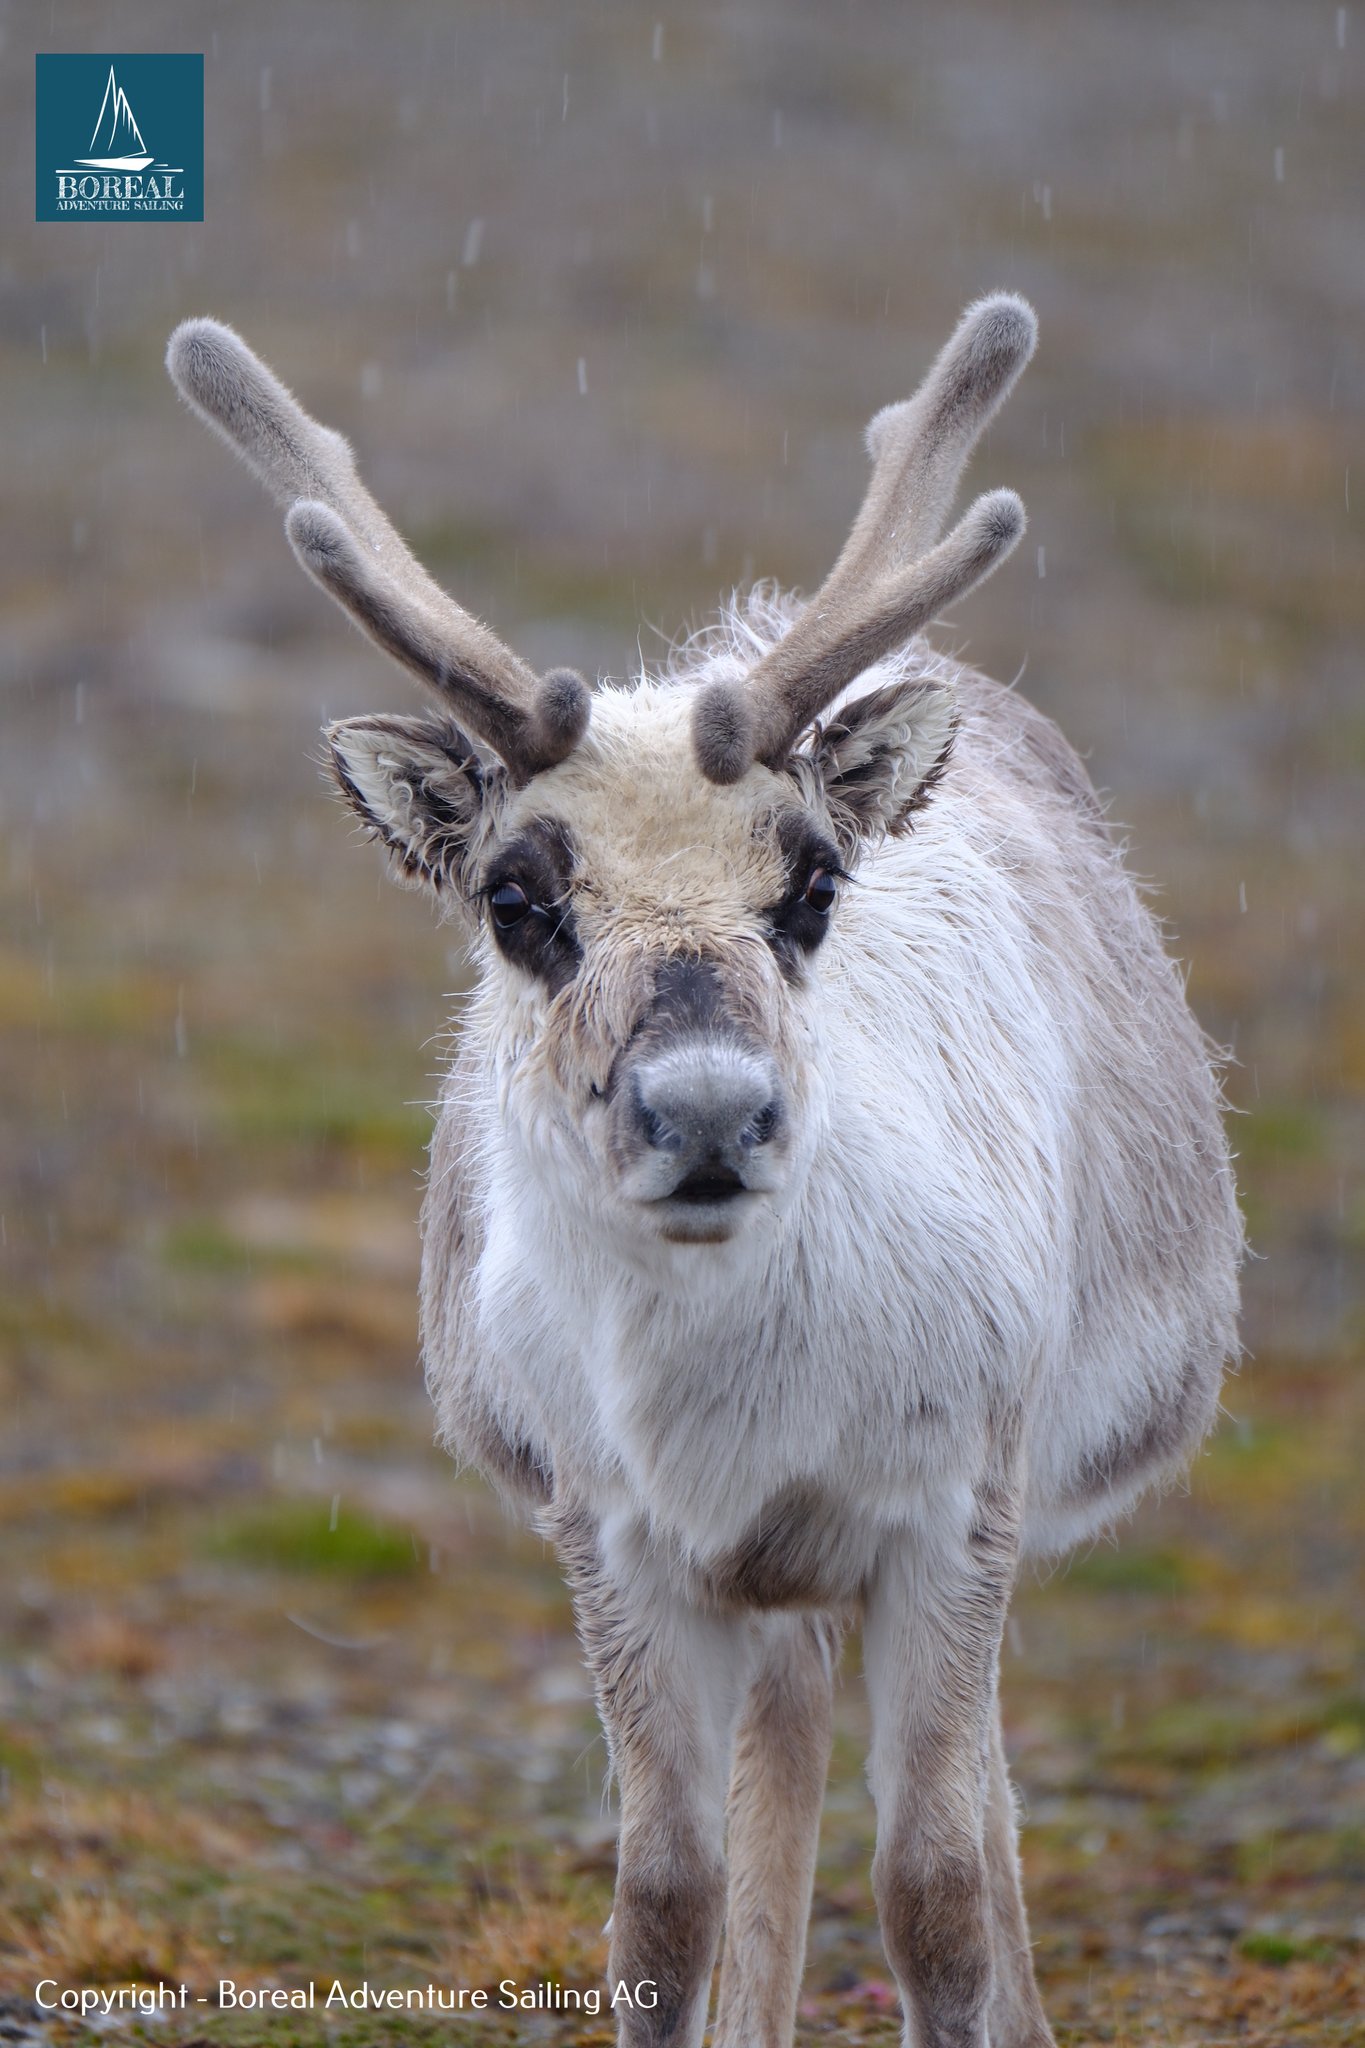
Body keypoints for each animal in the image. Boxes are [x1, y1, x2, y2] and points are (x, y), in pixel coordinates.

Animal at [167, 294, 1241, 2048]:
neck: (733, 1392)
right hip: (774, 1586)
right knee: (790, 1745)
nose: (711, 1116)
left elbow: (935, 1891)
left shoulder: (955, 1510)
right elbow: (663, 1902)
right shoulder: (614, 1534)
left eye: (812, 883)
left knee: (976, 1796)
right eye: (515, 896)